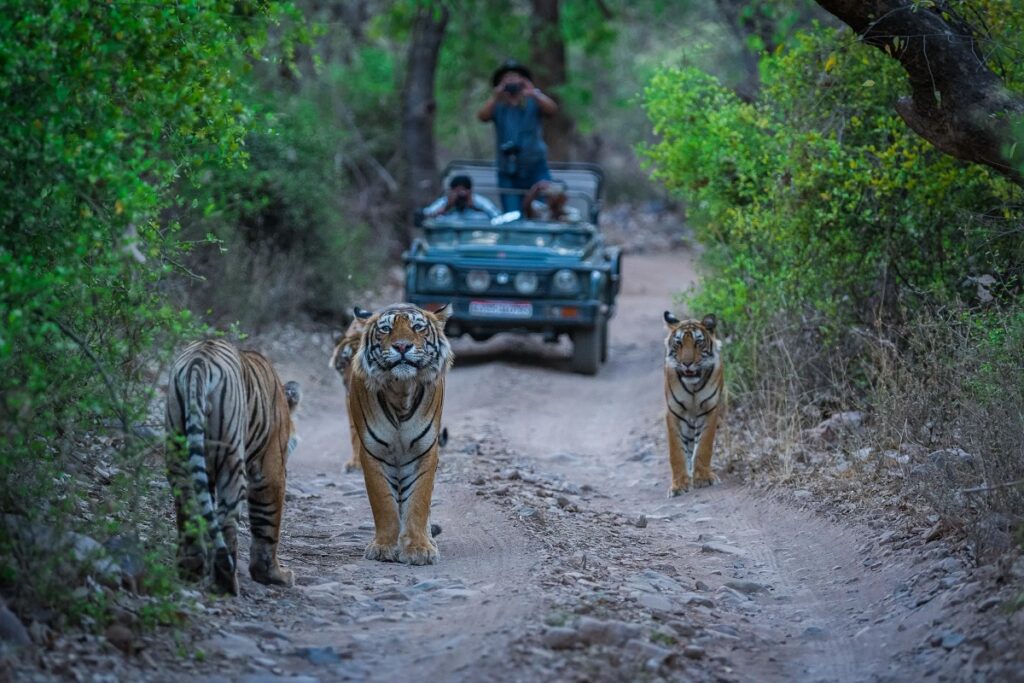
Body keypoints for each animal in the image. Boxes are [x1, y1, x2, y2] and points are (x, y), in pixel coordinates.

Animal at [163, 339, 299, 593]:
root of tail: (199, 362)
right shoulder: (271, 468)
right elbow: (267, 523)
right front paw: (274, 575)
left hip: (178, 451)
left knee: (188, 508)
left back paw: (191, 570)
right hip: (231, 461)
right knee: (226, 519)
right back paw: (226, 581)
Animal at [348, 305, 452, 565]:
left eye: (418, 327)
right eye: (386, 329)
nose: (402, 347)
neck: (400, 391)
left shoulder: (425, 451)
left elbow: (419, 501)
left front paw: (419, 548)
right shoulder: (372, 452)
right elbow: (383, 502)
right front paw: (384, 547)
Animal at [659, 311, 724, 497]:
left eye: (698, 343)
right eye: (679, 343)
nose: (687, 363)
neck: (693, 385)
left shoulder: (710, 410)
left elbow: (703, 446)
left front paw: (703, 478)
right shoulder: (674, 413)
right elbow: (676, 452)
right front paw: (679, 485)